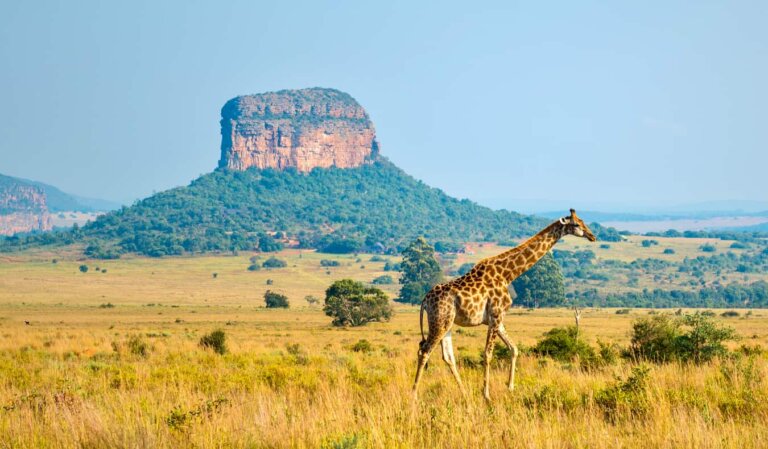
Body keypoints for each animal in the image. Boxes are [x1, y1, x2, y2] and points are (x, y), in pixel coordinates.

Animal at [412, 207, 596, 400]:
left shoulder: (497, 319)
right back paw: (414, 395)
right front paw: (486, 394)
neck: (508, 274)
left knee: (447, 356)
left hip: (447, 323)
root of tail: (425, 300)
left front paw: (510, 387)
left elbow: (514, 349)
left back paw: (464, 393)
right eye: (576, 224)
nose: (592, 236)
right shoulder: (496, 315)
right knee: (424, 351)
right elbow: (488, 354)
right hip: (440, 321)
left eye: (583, 221)